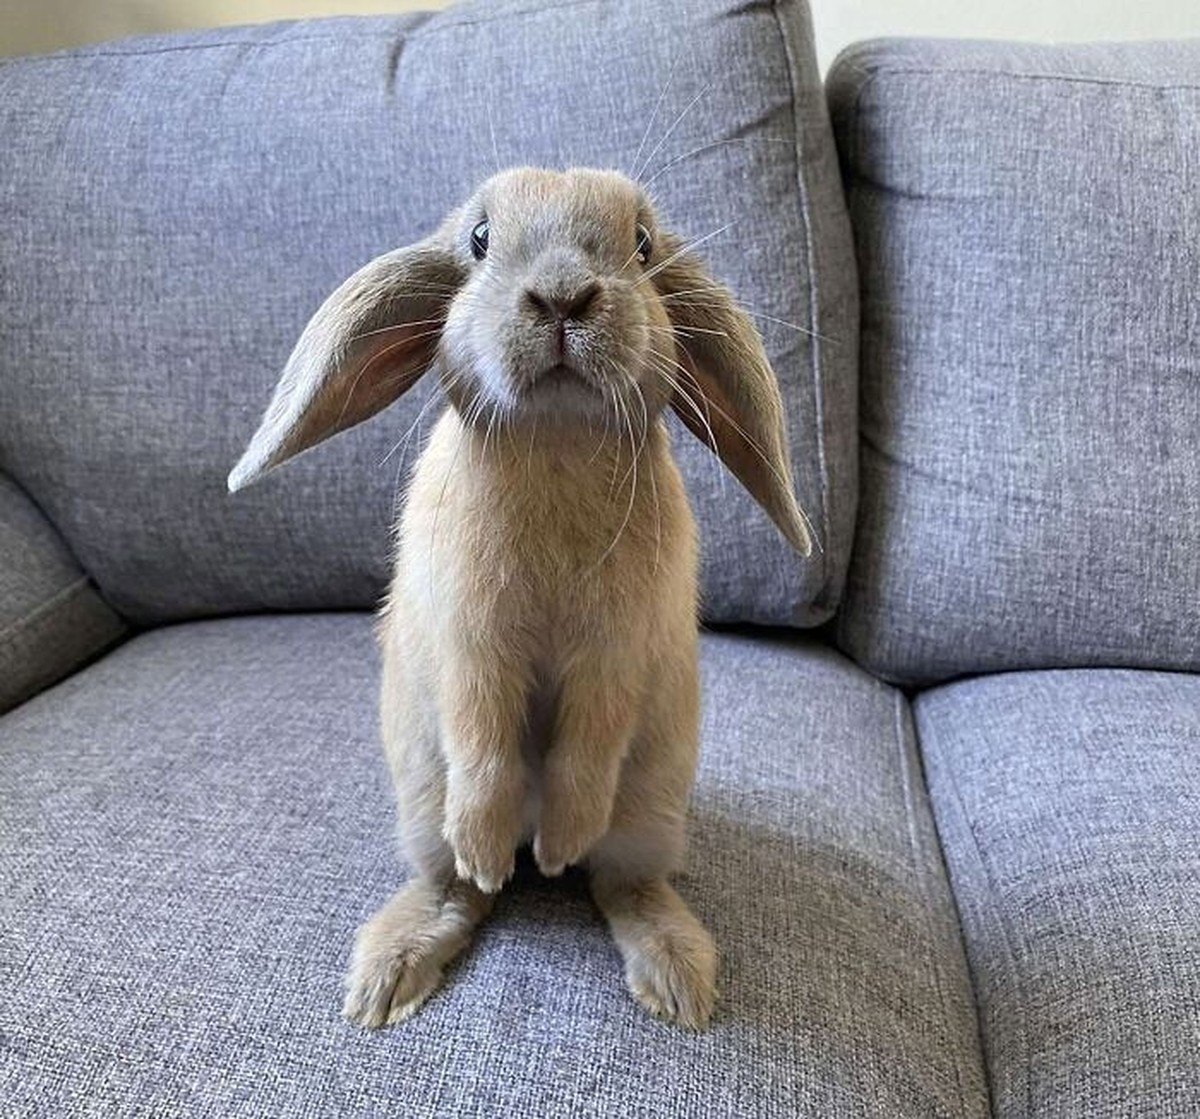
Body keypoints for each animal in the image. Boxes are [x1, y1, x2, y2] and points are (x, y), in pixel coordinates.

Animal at [228, 167, 814, 1031]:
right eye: (478, 239)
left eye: (643, 243)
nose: (565, 296)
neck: (557, 437)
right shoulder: (470, 650)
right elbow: (482, 741)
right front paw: (486, 845)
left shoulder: (617, 655)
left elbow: (589, 743)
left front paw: (563, 842)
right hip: (421, 799)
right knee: (459, 889)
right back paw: (403, 961)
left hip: (649, 810)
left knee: (621, 883)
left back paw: (671, 973)